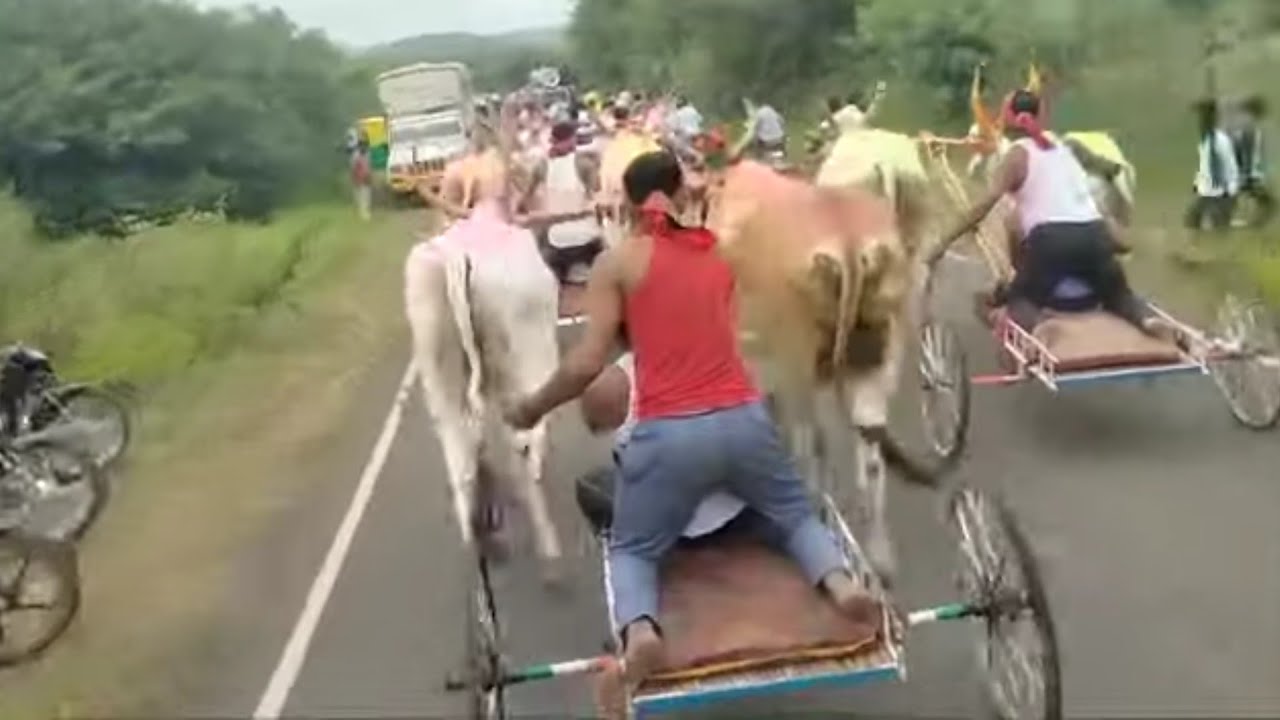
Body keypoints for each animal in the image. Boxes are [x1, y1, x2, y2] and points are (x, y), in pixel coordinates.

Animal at [399, 197, 560, 576]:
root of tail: (455, 256)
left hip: (436, 362)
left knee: (459, 451)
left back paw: (481, 537)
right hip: (520, 357)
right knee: (520, 439)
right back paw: (547, 548)